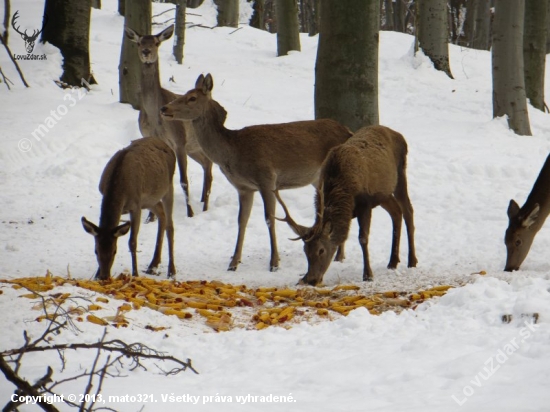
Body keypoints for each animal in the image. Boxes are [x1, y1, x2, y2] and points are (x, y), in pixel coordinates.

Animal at [81, 137, 177, 282]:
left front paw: (135, 274)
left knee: (170, 226)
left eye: (115, 251)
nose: (104, 276)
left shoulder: (135, 205)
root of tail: (167, 145)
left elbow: (132, 242)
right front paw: (96, 275)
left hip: (168, 188)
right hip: (150, 200)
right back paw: (153, 265)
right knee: (161, 214)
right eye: (96, 251)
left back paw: (171, 271)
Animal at [125, 25, 213, 217]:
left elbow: (184, 180)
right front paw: (150, 218)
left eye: (156, 43)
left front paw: (190, 213)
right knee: (206, 164)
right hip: (192, 148)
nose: (146, 52)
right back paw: (202, 200)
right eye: (139, 42)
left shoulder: (178, 141)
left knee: (210, 167)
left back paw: (205, 206)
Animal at [158, 73, 354, 274]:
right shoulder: (244, 188)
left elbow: (270, 219)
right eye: (184, 94)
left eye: (192, 98)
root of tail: (349, 131)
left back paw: (339, 255)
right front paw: (233, 262)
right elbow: (241, 220)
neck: (233, 152)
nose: (164, 108)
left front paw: (274, 262)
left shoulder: (266, 180)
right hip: (317, 180)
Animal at [276, 125, 418, 286]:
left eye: (321, 250)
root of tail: (399, 135)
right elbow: (343, 236)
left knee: (408, 210)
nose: (311, 279)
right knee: (396, 212)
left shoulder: (365, 203)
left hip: (400, 174)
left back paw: (412, 261)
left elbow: (363, 238)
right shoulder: (350, 210)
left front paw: (368, 275)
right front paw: (338, 259)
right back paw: (393, 262)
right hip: (384, 194)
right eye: (305, 250)